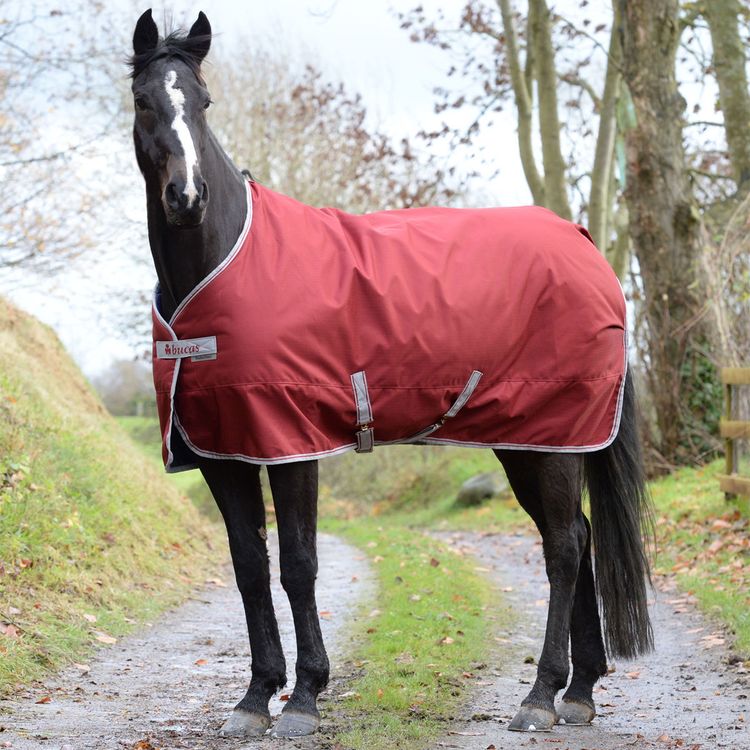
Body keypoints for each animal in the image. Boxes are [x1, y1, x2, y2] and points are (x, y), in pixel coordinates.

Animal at [129, 8, 652, 744]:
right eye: (145, 101)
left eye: (203, 103)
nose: (186, 198)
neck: (219, 267)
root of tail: (584, 245)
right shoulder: (221, 453)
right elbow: (249, 567)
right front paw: (255, 697)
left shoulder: (292, 443)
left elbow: (299, 564)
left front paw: (304, 698)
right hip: (530, 440)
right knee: (571, 539)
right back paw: (576, 692)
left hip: (553, 436)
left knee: (565, 545)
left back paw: (540, 695)